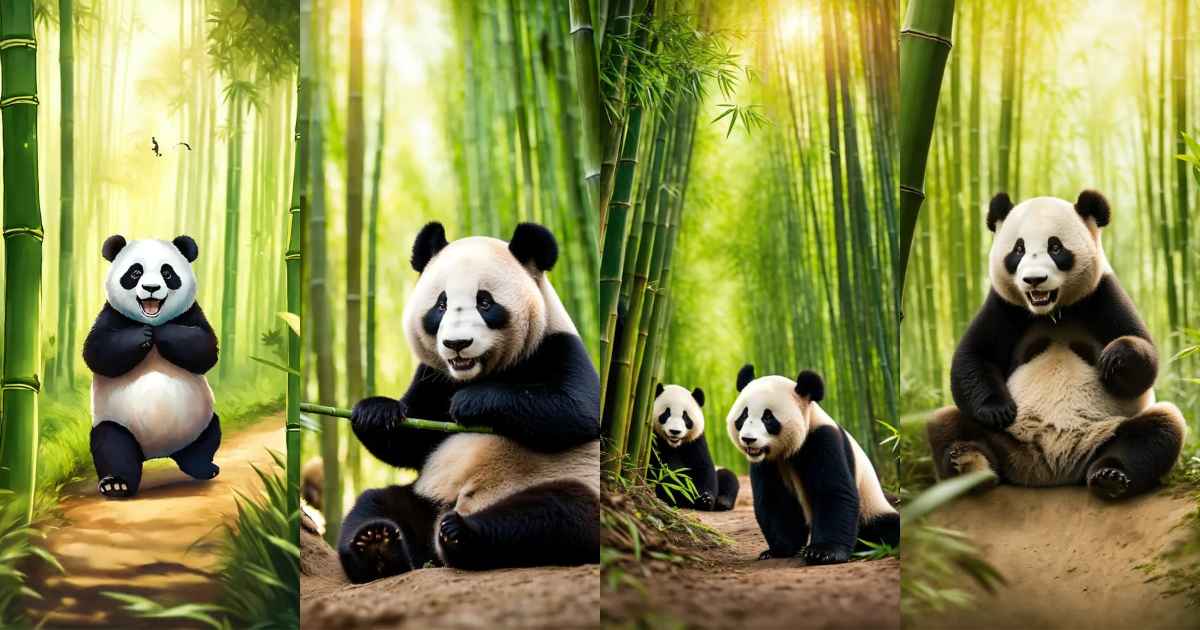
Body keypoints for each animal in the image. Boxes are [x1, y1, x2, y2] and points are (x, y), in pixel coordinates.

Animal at [81, 235, 220, 499]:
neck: (151, 319)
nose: (151, 288)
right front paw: (142, 335)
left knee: (207, 439)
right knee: (112, 446)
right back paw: (116, 484)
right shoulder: (110, 314)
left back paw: (202, 467)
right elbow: (97, 352)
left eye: (167, 272)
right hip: (117, 422)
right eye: (135, 272)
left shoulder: (192, 313)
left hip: (199, 421)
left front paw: (163, 333)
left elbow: (205, 348)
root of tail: (156, 452)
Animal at [338, 221, 600, 584]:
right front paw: (376, 412)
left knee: (555, 515)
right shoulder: (434, 376)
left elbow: (577, 410)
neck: (476, 373)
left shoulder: (560, 347)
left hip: (566, 484)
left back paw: (463, 535)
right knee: (375, 503)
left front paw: (470, 403)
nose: (456, 343)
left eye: (485, 302)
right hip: (424, 497)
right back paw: (377, 547)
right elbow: (411, 442)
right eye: (441, 305)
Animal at [728, 365, 899, 565]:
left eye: (768, 418)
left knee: (887, 527)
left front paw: (822, 553)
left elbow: (832, 492)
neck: (788, 452)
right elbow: (774, 500)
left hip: (871, 508)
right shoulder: (768, 463)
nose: (748, 439)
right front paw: (778, 549)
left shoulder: (821, 439)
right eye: (743, 415)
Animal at [927, 190, 1186, 500]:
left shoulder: (1102, 293)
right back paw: (969, 465)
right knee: (948, 423)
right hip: (1005, 439)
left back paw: (1110, 477)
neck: (1051, 310)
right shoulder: (1004, 305)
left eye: (1055, 247)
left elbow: (1143, 365)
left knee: (1159, 428)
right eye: (1018, 250)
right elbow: (974, 356)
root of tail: (1048, 469)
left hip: (1104, 433)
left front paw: (1117, 357)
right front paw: (998, 410)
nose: (1034, 280)